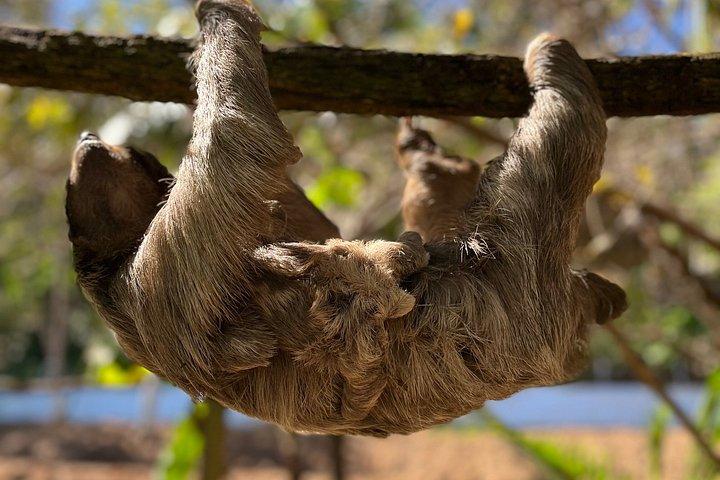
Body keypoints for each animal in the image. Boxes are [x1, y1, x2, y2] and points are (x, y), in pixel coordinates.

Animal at [65, 0, 627, 437]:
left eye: (124, 153)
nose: (88, 139)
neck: (116, 274)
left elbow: (305, 220)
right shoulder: (162, 269)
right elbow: (238, 145)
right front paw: (216, 12)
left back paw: (429, 161)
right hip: (518, 288)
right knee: (554, 144)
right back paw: (546, 62)